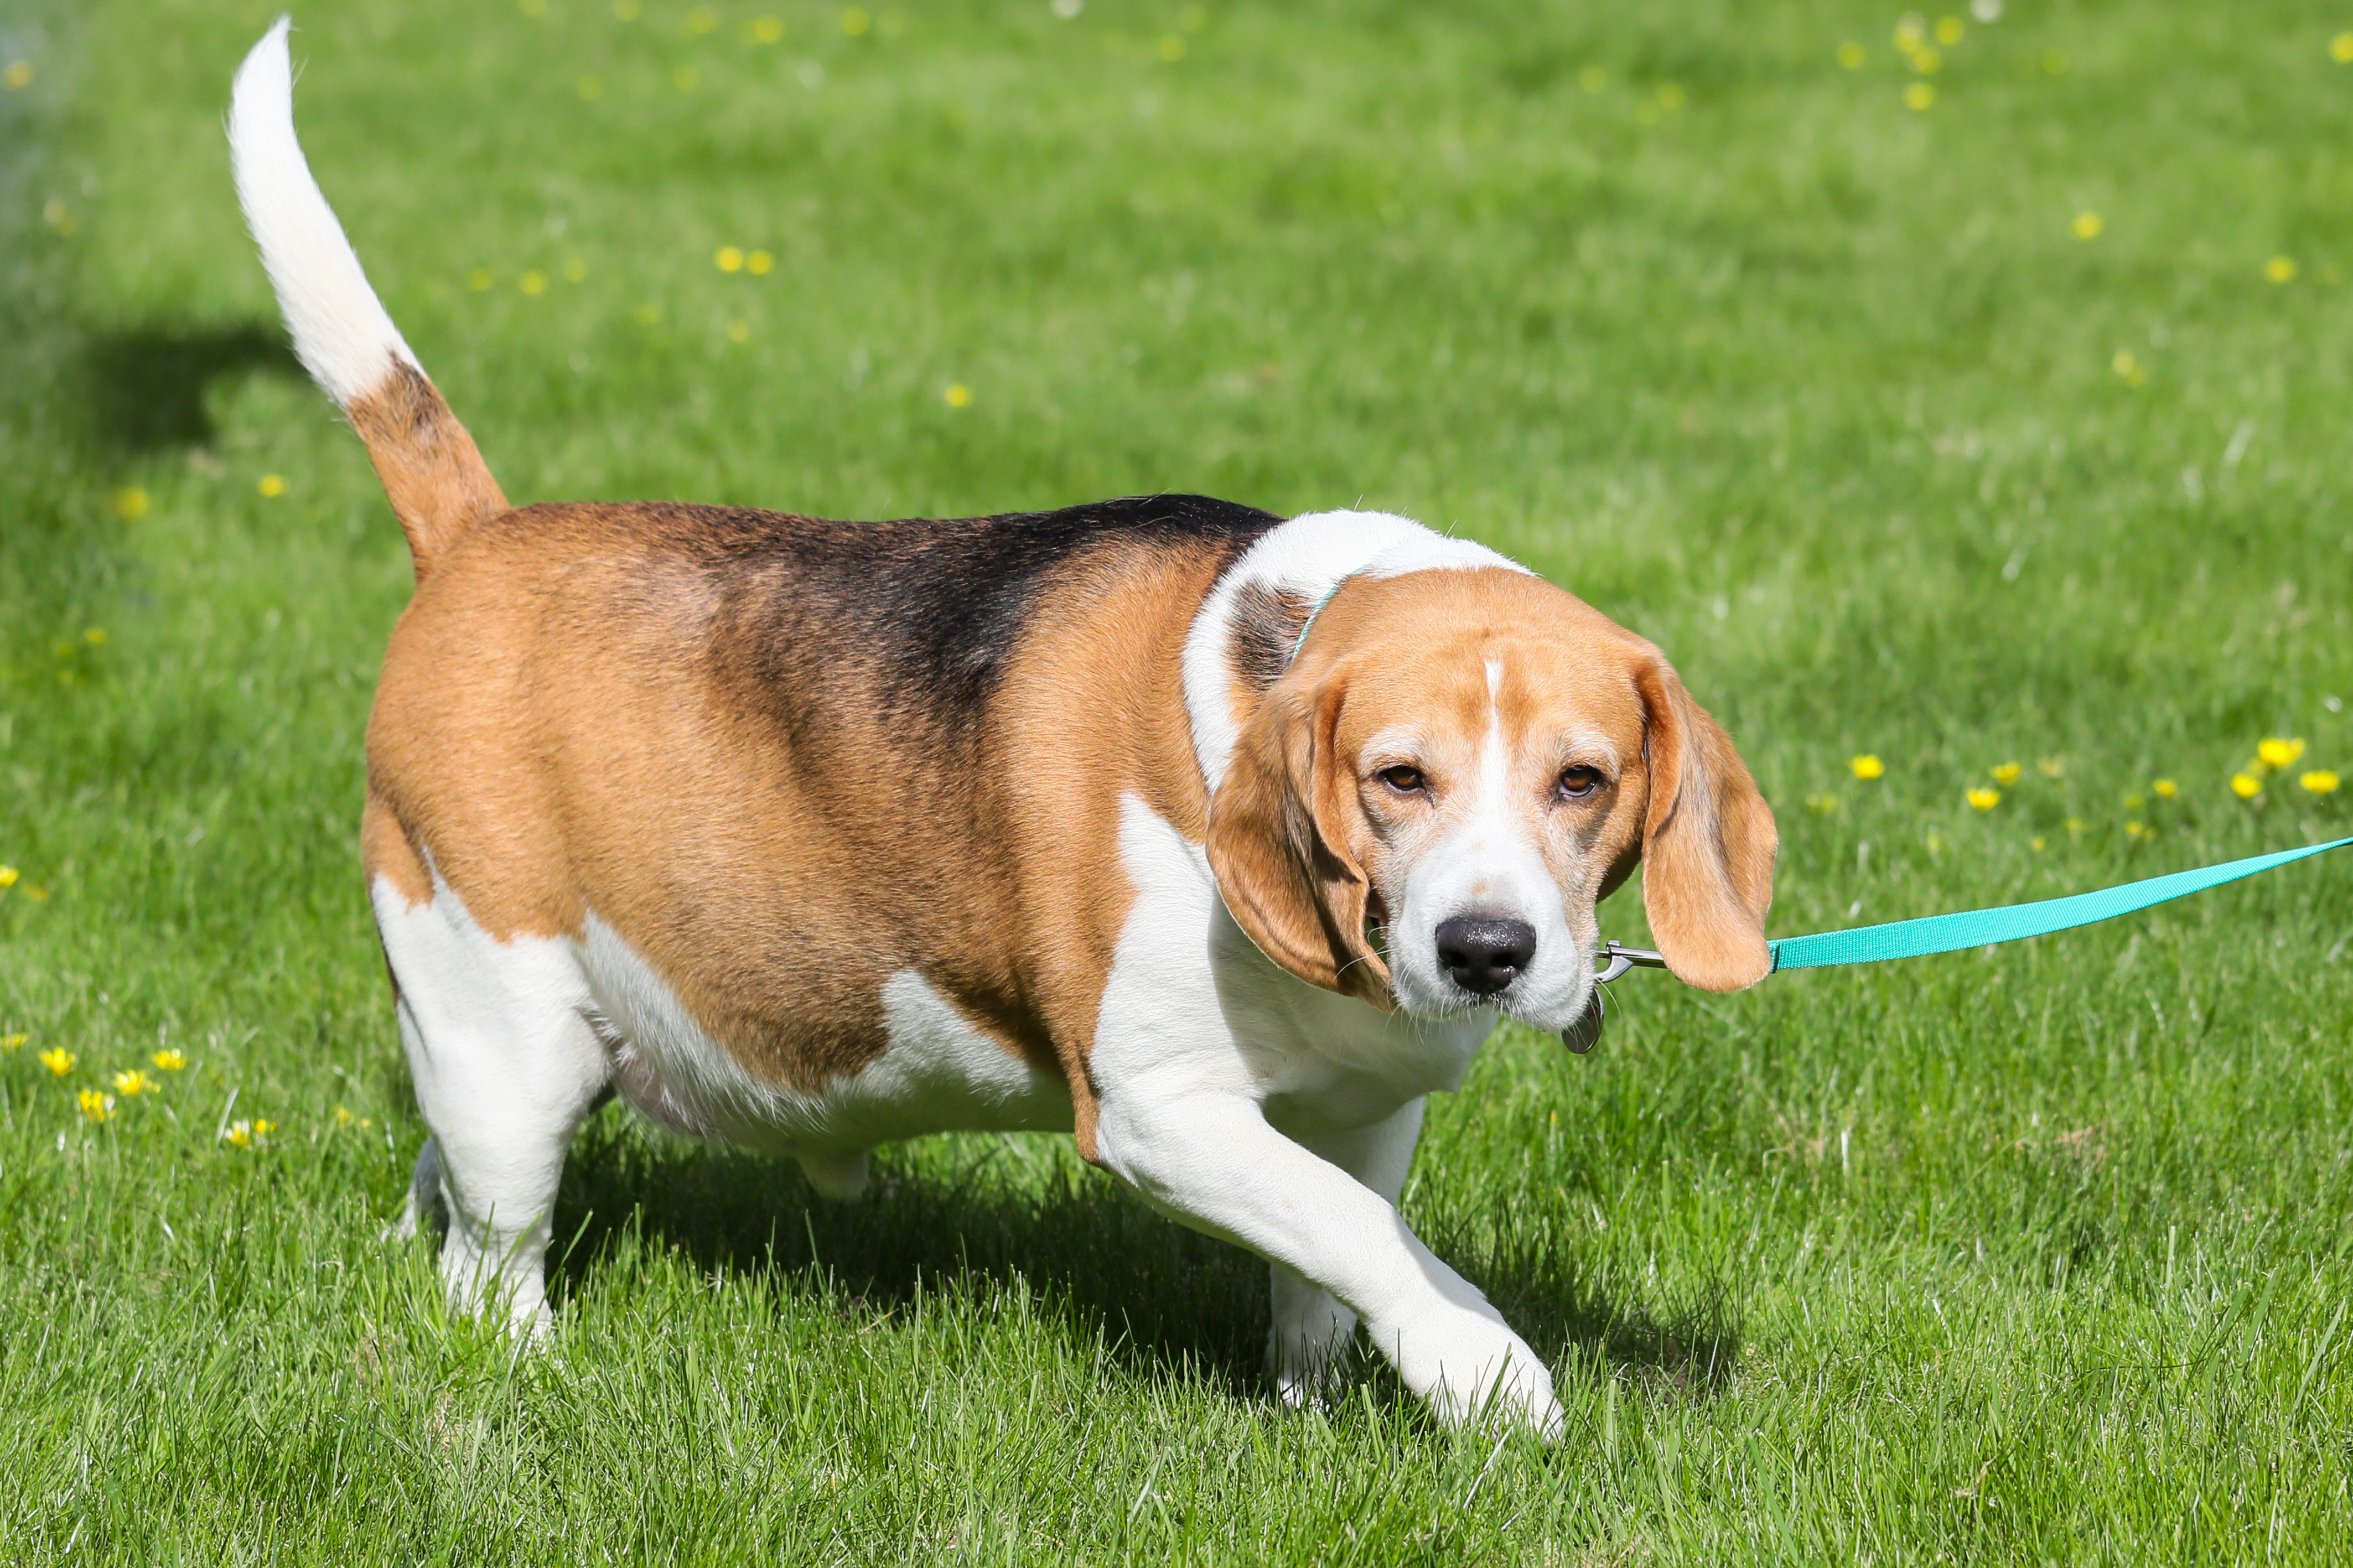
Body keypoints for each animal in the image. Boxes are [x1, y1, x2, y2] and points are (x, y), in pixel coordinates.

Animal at [234, 18, 1769, 1439]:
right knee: (494, 1248)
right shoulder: (1161, 1107)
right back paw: (525, 1366)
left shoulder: (1367, 1108)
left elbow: (1332, 1262)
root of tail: (480, 537)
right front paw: (1485, 1369)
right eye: (1397, 776)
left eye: (1582, 780)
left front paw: (1311, 1405)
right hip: (502, 1013)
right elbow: (1360, 1236)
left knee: (446, 1180)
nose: (1487, 951)